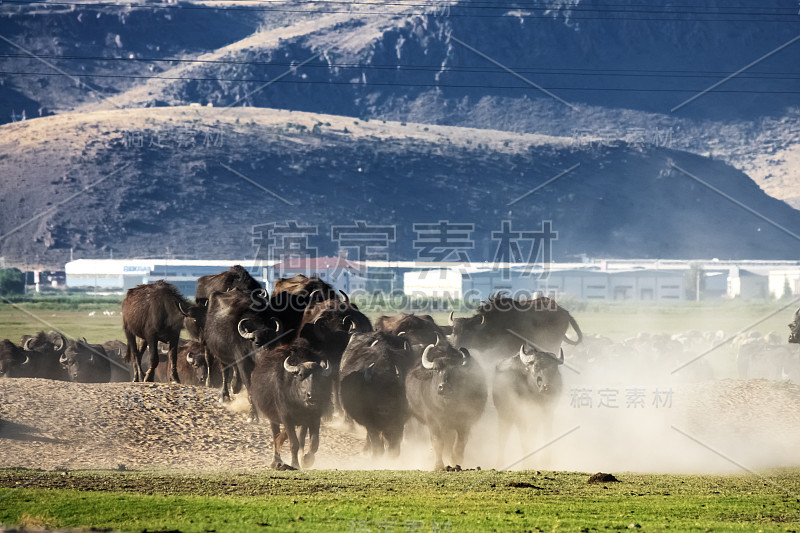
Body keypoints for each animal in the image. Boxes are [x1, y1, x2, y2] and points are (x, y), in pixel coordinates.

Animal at [250, 338, 332, 468]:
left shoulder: (315, 417)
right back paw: (276, 462)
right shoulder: (286, 419)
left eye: (319, 376)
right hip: (273, 419)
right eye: (301, 375)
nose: (312, 395)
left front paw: (306, 460)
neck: (299, 403)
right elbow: (294, 443)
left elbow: (314, 443)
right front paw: (294, 464)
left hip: (303, 422)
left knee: (301, 439)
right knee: (276, 437)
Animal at [406, 332, 488, 470]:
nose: (444, 387)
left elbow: (460, 443)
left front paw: (456, 460)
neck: (447, 406)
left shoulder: (464, 421)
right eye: (435, 369)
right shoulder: (432, 421)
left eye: (455, 370)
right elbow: (438, 443)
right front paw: (438, 466)